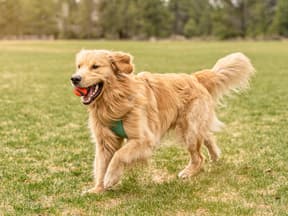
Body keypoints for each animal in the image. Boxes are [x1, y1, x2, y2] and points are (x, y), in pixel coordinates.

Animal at [70, 49, 254, 193]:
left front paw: (110, 178)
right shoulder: (104, 142)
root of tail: (194, 77)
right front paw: (97, 189)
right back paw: (215, 156)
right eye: (79, 66)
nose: (75, 78)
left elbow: (118, 155)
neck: (115, 101)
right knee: (208, 136)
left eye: (95, 66)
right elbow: (101, 165)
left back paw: (188, 172)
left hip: (189, 130)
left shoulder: (144, 139)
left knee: (199, 156)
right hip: (192, 127)